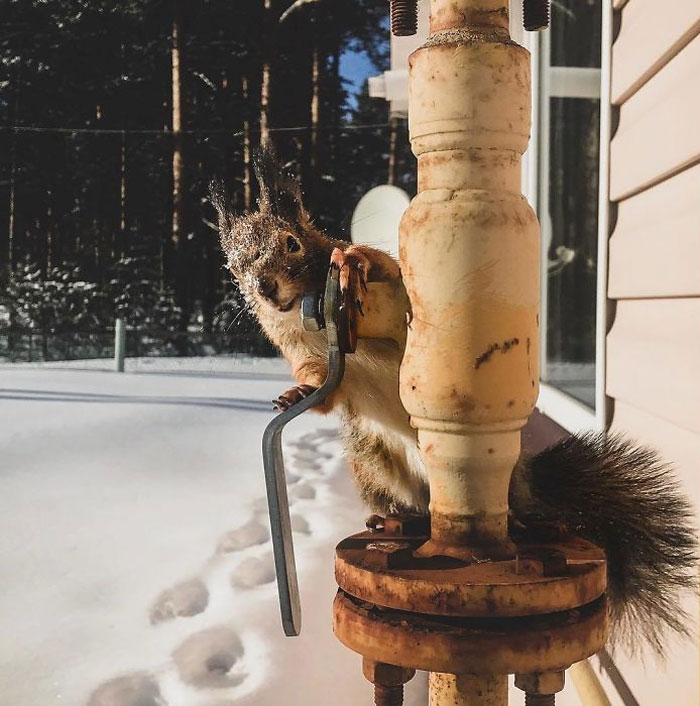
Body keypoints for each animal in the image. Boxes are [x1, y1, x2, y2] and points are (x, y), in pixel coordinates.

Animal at [210, 147, 698, 657]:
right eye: (234, 265)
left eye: (291, 243)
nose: (263, 288)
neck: (304, 315)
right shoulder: (302, 353)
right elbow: (324, 388)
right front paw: (296, 393)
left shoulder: (392, 294)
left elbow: (387, 273)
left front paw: (352, 261)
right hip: (372, 463)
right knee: (406, 502)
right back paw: (392, 518)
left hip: (507, 477)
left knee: (516, 508)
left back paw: (521, 520)